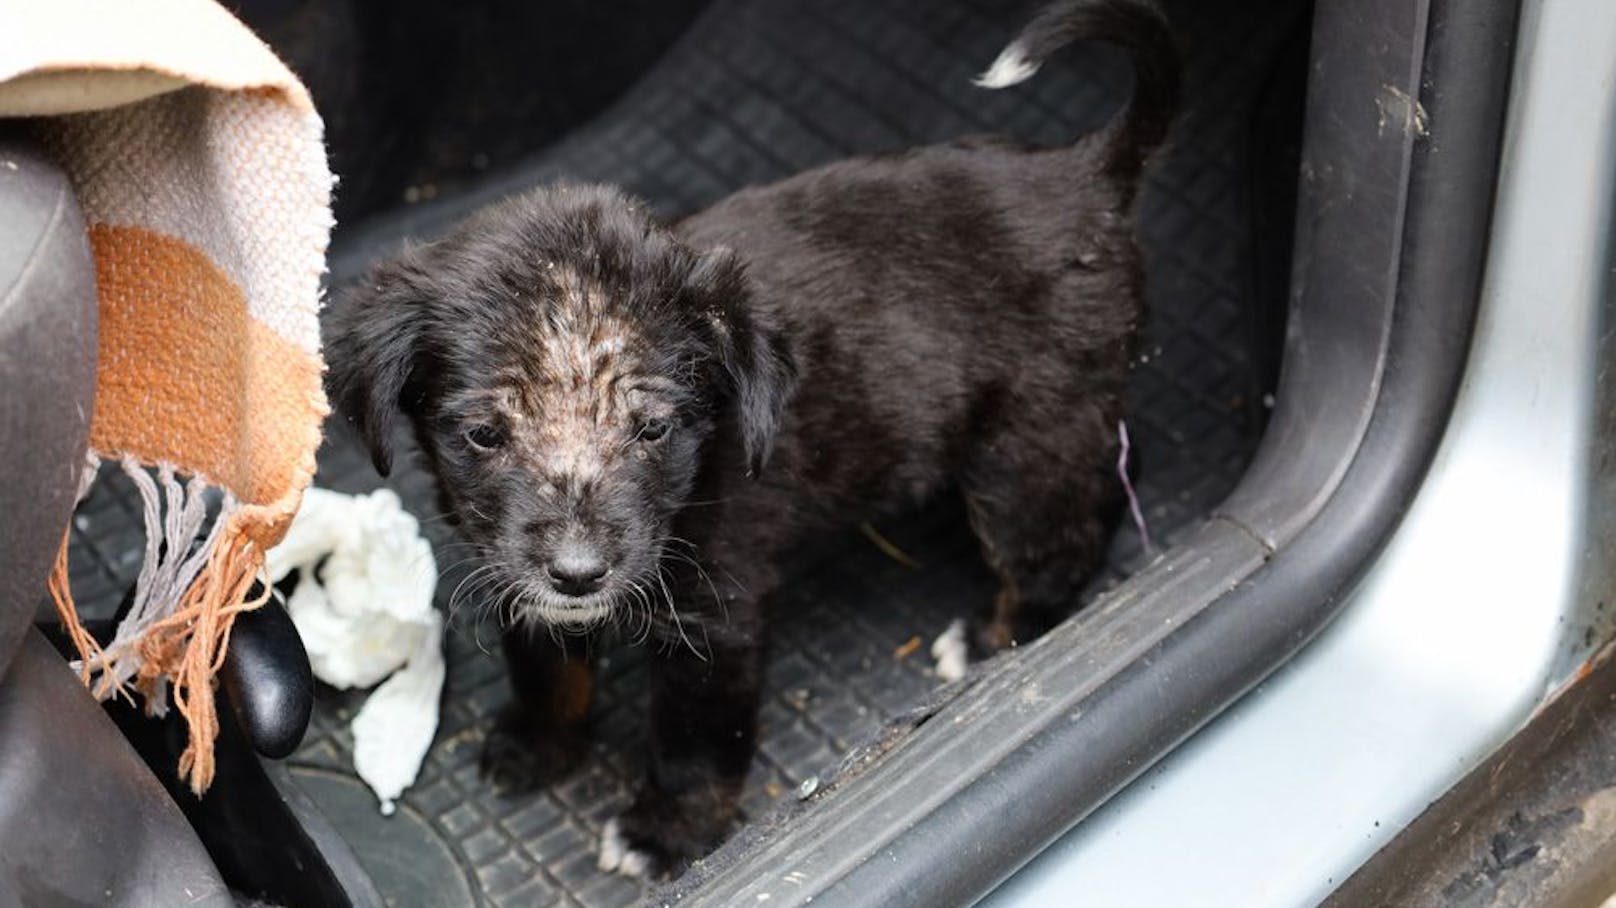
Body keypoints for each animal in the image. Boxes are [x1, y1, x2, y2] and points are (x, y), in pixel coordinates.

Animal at [324, 0, 1176, 878]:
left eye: (653, 427)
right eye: (484, 433)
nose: (579, 574)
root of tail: (1085, 172)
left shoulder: (718, 612)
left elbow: (695, 744)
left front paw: (665, 836)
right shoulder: (510, 570)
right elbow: (544, 660)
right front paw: (539, 742)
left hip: (1024, 445)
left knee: (1059, 537)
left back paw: (994, 639)